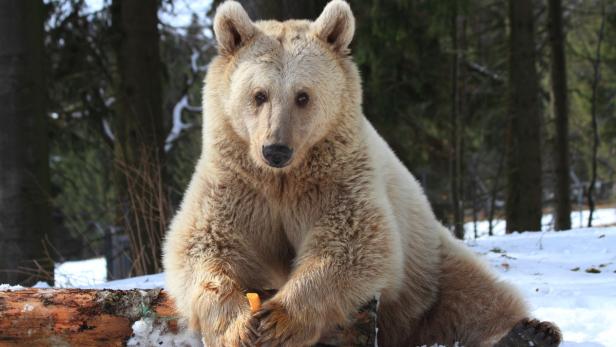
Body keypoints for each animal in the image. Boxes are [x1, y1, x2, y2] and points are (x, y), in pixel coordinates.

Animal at [164, 1, 564, 346]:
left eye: (303, 95)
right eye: (259, 94)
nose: (276, 149)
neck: (284, 178)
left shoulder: (337, 178)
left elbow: (351, 244)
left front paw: (278, 319)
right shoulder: (237, 183)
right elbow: (203, 245)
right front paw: (240, 325)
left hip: (429, 260)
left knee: (476, 296)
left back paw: (530, 331)